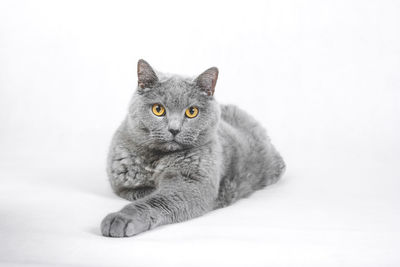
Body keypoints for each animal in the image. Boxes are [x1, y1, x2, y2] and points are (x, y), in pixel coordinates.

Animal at [101, 60, 286, 239]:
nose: (174, 129)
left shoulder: (193, 182)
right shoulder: (121, 179)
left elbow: (156, 200)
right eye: (158, 109)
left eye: (192, 112)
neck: (157, 159)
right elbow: (134, 191)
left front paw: (121, 218)